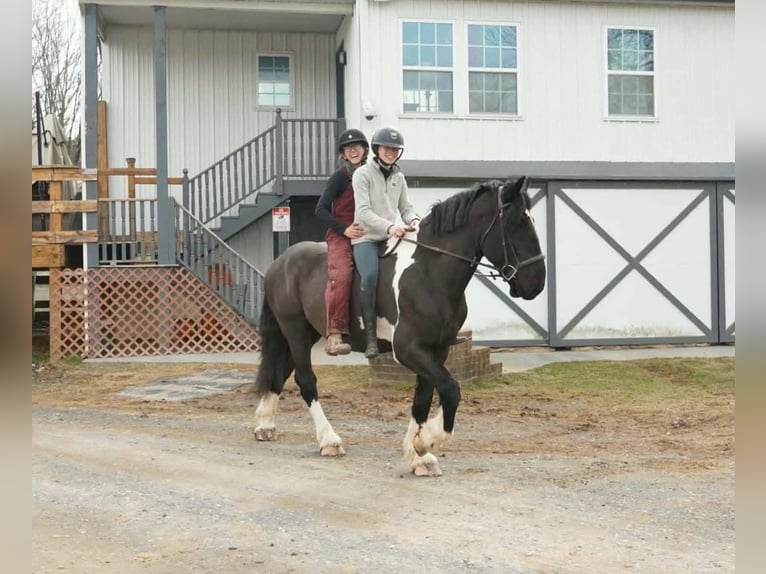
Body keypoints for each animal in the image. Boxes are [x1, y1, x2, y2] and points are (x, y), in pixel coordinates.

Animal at [253, 176, 546, 476]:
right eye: (518, 223)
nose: (536, 282)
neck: (429, 272)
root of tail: (279, 262)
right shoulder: (408, 350)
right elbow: (451, 389)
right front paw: (427, 441)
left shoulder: (436, 349)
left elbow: (424, 398)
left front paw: (419, 455)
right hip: (295, 330)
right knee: (305, 380)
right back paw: (329, 440)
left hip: (305, 333)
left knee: (281, 372)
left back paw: (265, 425)